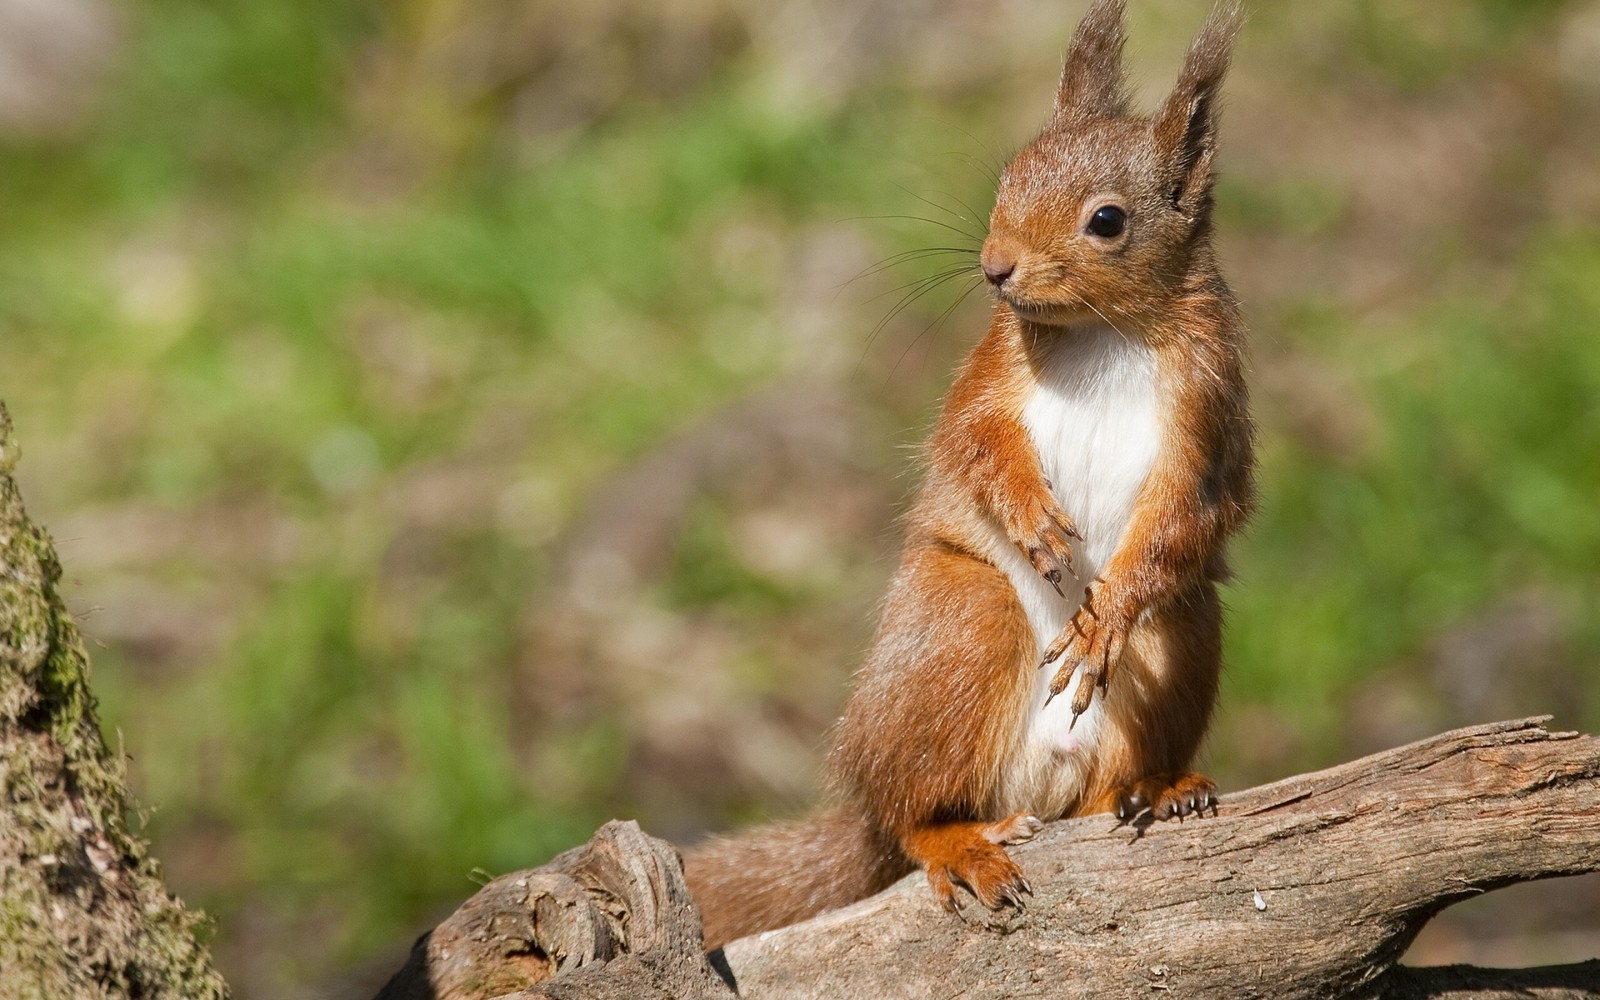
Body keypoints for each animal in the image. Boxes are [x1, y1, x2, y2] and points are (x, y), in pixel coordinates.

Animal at [681, 0, 1254, 953]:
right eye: (1009, 176)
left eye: (1108, 221)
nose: (995, 266)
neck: (1107, 331)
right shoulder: (990, 372)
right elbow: (977, 443)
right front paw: (1033, 519)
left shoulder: (1206, 413)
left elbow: (1190, 510)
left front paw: (1106, 618)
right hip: (963, 623)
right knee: (912, 818)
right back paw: (958, 841)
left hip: (1182, 634)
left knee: (1110, 765)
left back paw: (1155, 787)